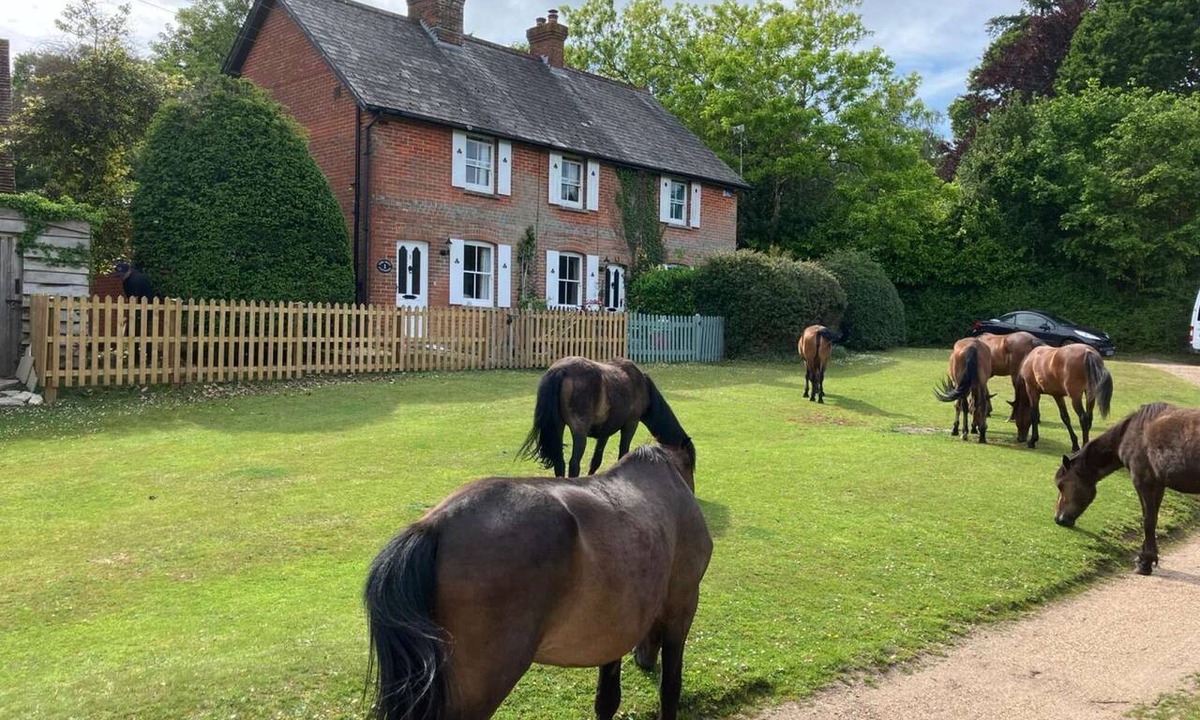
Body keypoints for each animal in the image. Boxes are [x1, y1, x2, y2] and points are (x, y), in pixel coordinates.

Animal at [363, 438, 712, 720]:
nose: (643, 659)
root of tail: (434, 526)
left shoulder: (615, 629)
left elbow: (607, 700)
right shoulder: (682, 610)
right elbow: (670, 689)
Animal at [518, 356, 687, 478]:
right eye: (688, 463)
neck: (642, 385)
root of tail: (561, 370)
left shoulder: (605, 432)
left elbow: (596, 460)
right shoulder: (631, 424)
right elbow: (622, 454)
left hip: (558, 427)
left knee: (560, 463)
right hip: (579, 432)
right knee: (574, 464)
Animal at [1052, 403, 1200, 575]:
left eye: (1061, 485)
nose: (1058, 519)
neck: (1132, 433)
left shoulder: (1144, 482)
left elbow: (1148, 520)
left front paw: (1145, 562)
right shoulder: (1158, 485)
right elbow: (1152, 518)